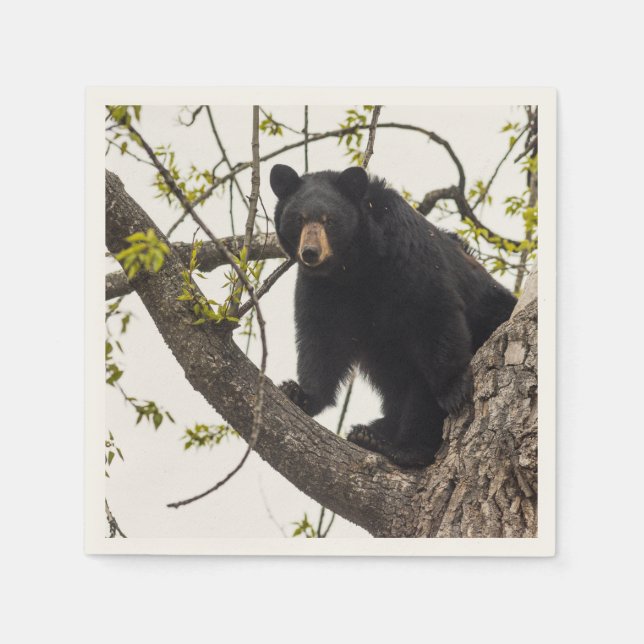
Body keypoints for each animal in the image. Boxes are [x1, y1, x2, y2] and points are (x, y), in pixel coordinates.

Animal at [270, 163, 517, 468]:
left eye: (330, 220)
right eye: (299, 219)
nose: (310, 253)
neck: (355, 266)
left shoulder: (407, 255)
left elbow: (433, 313)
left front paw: (453, 389)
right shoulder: (322, 288)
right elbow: (322, 339)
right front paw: (299, 393)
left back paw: (400, 446)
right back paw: (370, 433)